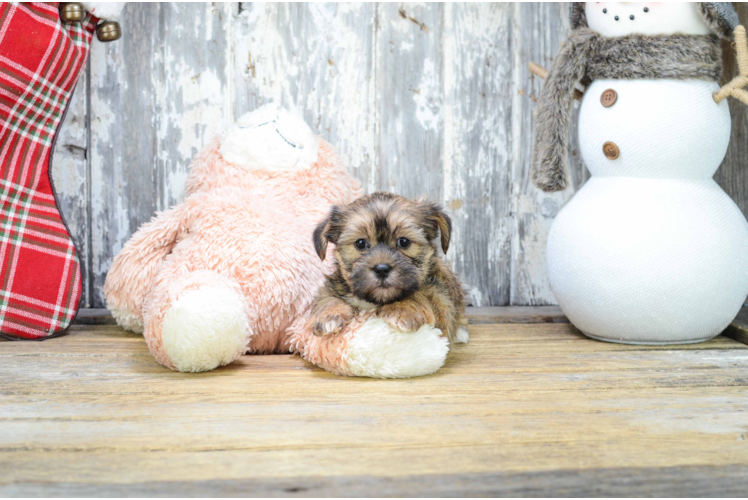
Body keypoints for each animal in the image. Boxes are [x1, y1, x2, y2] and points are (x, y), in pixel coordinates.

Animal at [308, 190, 462, 340]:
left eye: (404, 242)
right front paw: (329, 315)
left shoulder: (443, 304)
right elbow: (327, 297)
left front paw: (402, 307)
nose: (382, 270)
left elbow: (422, 294)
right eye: (360, 243)